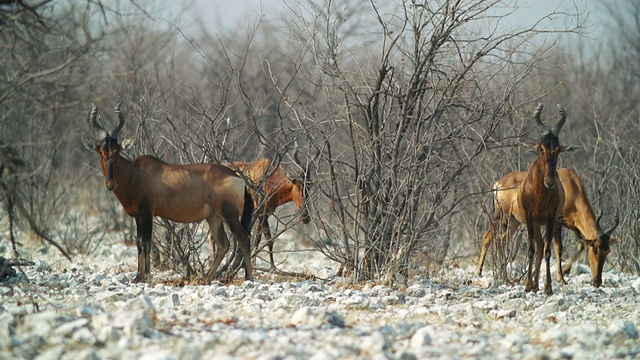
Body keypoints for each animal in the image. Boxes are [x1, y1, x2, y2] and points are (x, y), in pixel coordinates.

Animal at [84, 102, 254, 284]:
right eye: (101, 152)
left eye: (116, 152)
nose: (110, 184)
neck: (136, 172)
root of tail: (237, 176)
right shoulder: (137, 215)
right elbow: (138, 242)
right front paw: (138, 276)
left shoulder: (147, 211)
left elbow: (146, 242)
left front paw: (145, 276)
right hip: (214, 216)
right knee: (224, 244)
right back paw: (206, 278)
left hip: (228, 212)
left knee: (243, 237)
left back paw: (249, 278)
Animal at [478, 167, 616, 288]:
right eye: (595, 250)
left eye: (607, 251)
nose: (597, 282)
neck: (571, 186)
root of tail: (499, 183)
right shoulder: (556, 222)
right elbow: (559, 248)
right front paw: (562, 278)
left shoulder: (573, 225)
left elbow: (580, 245)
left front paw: (565, 271)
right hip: (502, 216)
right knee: (488, 237)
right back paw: (480, 273)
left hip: (514, 220)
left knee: (500, 239)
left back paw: (504, 276)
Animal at [516, 102, 564, 294]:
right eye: (540, 148)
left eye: (557, 149)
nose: (550, 182)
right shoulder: (529, 216)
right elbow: (530, 249)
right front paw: (528, 285)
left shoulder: (551, 218)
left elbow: (548, 251)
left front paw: (548, 287)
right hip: (535, 223)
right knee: (537, 245)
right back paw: (534, 284)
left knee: (542, 246)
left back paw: (539, 284)